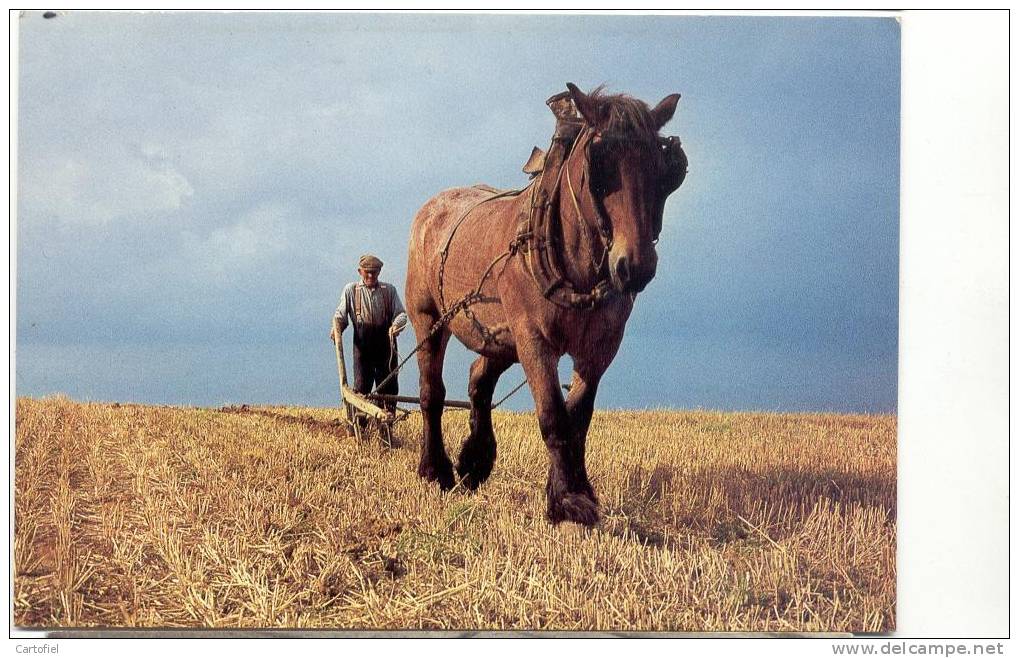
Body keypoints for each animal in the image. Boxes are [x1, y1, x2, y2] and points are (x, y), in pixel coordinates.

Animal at [403, 84, 684, 525]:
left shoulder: (600, 347)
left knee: (479, 381)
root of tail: (432, 207)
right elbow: (553, 415)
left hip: (499, 335)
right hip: (429, 318)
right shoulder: (534, 339)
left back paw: (475, 461)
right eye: (599, 167)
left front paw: (571, 491)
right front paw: (569, 499)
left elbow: (578, 418)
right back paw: (436, 469)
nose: (635, 266)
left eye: (663, 168)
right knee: (432, 391)